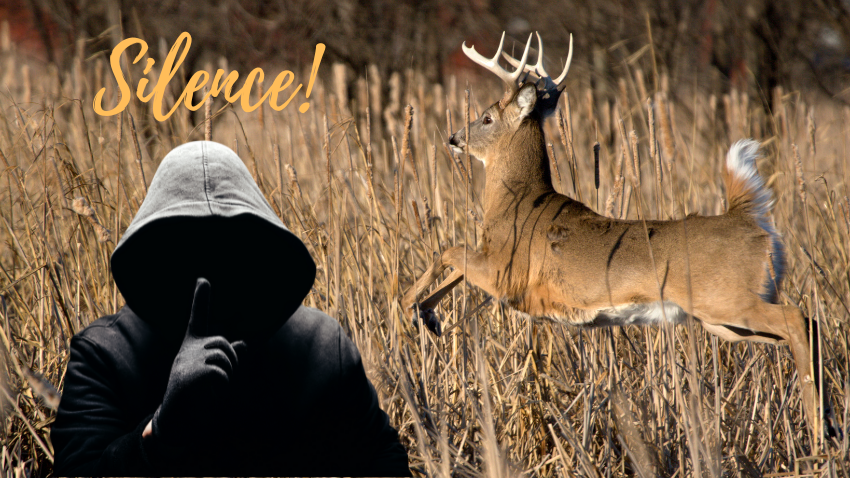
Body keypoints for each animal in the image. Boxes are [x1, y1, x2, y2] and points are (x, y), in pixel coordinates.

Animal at [400, 31, 836, 438]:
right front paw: (427, 315)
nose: (453, 138)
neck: (517, 202)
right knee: (805, 328)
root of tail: (748, 220)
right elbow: (455, 262)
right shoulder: (495, 261)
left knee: (798, 319)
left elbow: (449, 250)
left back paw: (818, 429)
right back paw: (827, 423)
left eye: (487, 118)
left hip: (729, 300)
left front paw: (407, 304)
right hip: (725, 320)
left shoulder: (510, 276)